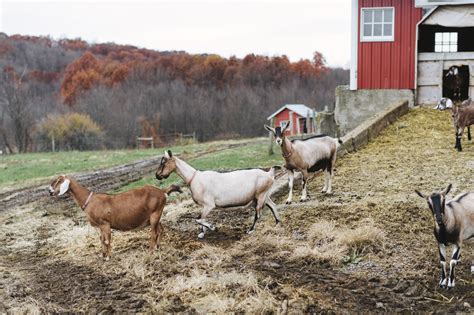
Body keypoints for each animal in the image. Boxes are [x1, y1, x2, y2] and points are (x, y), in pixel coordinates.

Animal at [48, 174, 181, 260]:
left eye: (59, 181)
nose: (49, 191)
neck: (89, 200)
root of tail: (163, 192)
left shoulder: (105, 223)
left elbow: (107, 240)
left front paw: (108, 257)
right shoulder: (100, 226)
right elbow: (101, 239)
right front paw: (103, 255)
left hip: (155, 213)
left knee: (154, 233)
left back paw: (151, 251)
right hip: (155, 215)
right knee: (160, 230)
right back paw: (157, 247)